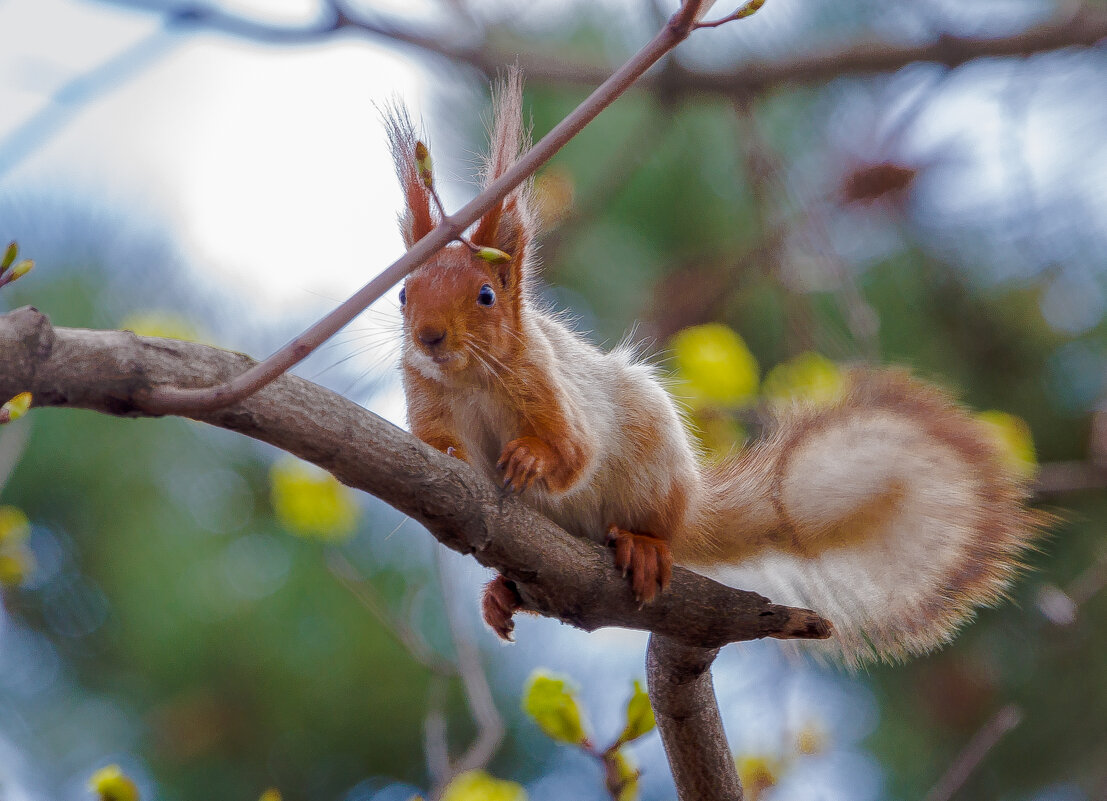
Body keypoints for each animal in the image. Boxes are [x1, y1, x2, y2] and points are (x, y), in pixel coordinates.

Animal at [385, 73, 1040, 663]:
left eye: (485, 296)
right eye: (402, 295)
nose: (429, 337)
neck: (471, 378)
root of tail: (692, 506)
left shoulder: (552, 385)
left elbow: (573, 454)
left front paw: (529, 458)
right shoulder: (427, 393)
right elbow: (436, 440)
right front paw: (446, 455)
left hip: (652, 469)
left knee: (653, 524)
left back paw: (644, 545)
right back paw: (502, 593)